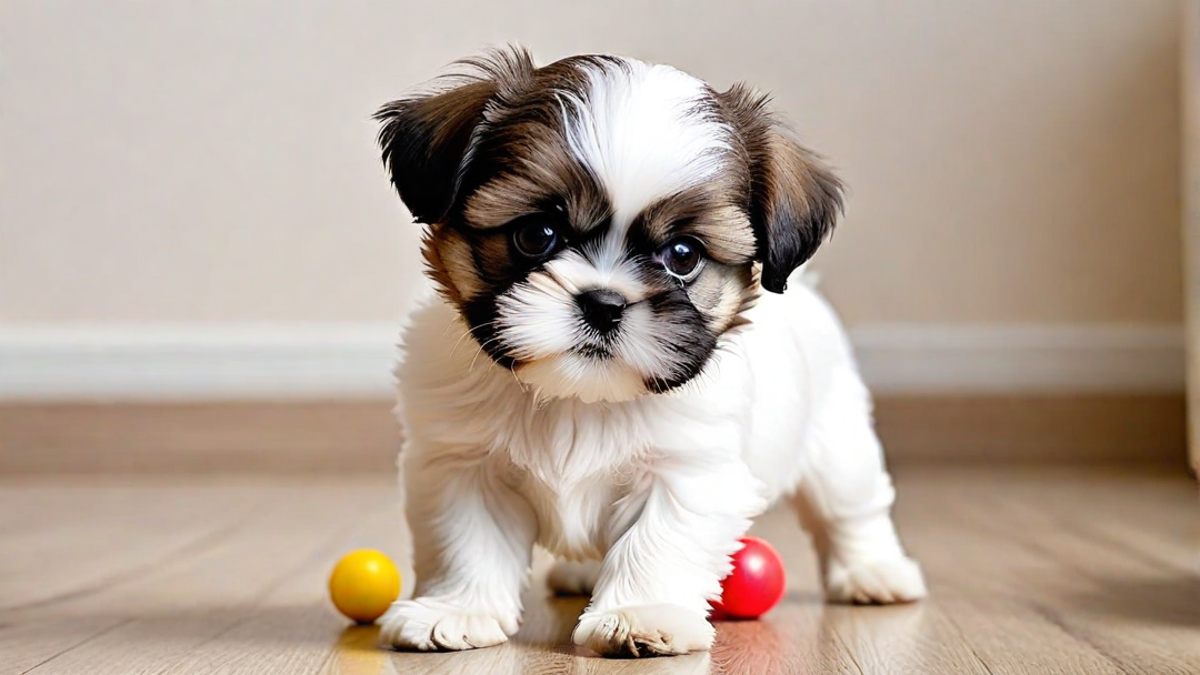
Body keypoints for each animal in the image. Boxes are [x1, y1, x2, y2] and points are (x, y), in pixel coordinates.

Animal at [376, 48, 926, 658]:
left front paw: (639, 615)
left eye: (683, 255)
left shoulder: (687, 469)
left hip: (837, 439)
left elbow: (657, 540)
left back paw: (873, 572)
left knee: (850, 508)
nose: (604, 303)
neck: (579, 398)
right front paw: (456, 609)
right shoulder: (462, 464)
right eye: (536, 234)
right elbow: (469, 539)